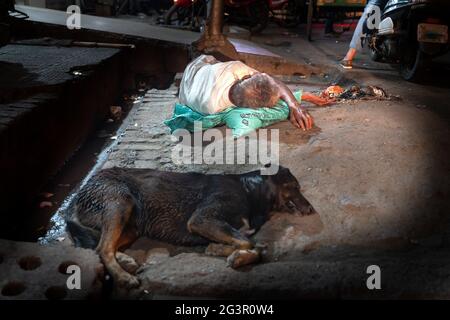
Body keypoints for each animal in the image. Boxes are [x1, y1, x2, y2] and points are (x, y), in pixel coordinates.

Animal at [65, 165, 314, 288]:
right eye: (295, 187)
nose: (312, 210)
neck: (250, 190)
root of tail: (81, 191)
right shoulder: (201, 219)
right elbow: (247, 241)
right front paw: (228, 252)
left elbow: (256, 246)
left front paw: (220, 249)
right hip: (120, 203)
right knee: (102, 248)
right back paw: (123, 277)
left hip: (132, 224)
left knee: (102, 245)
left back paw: (125, 261)